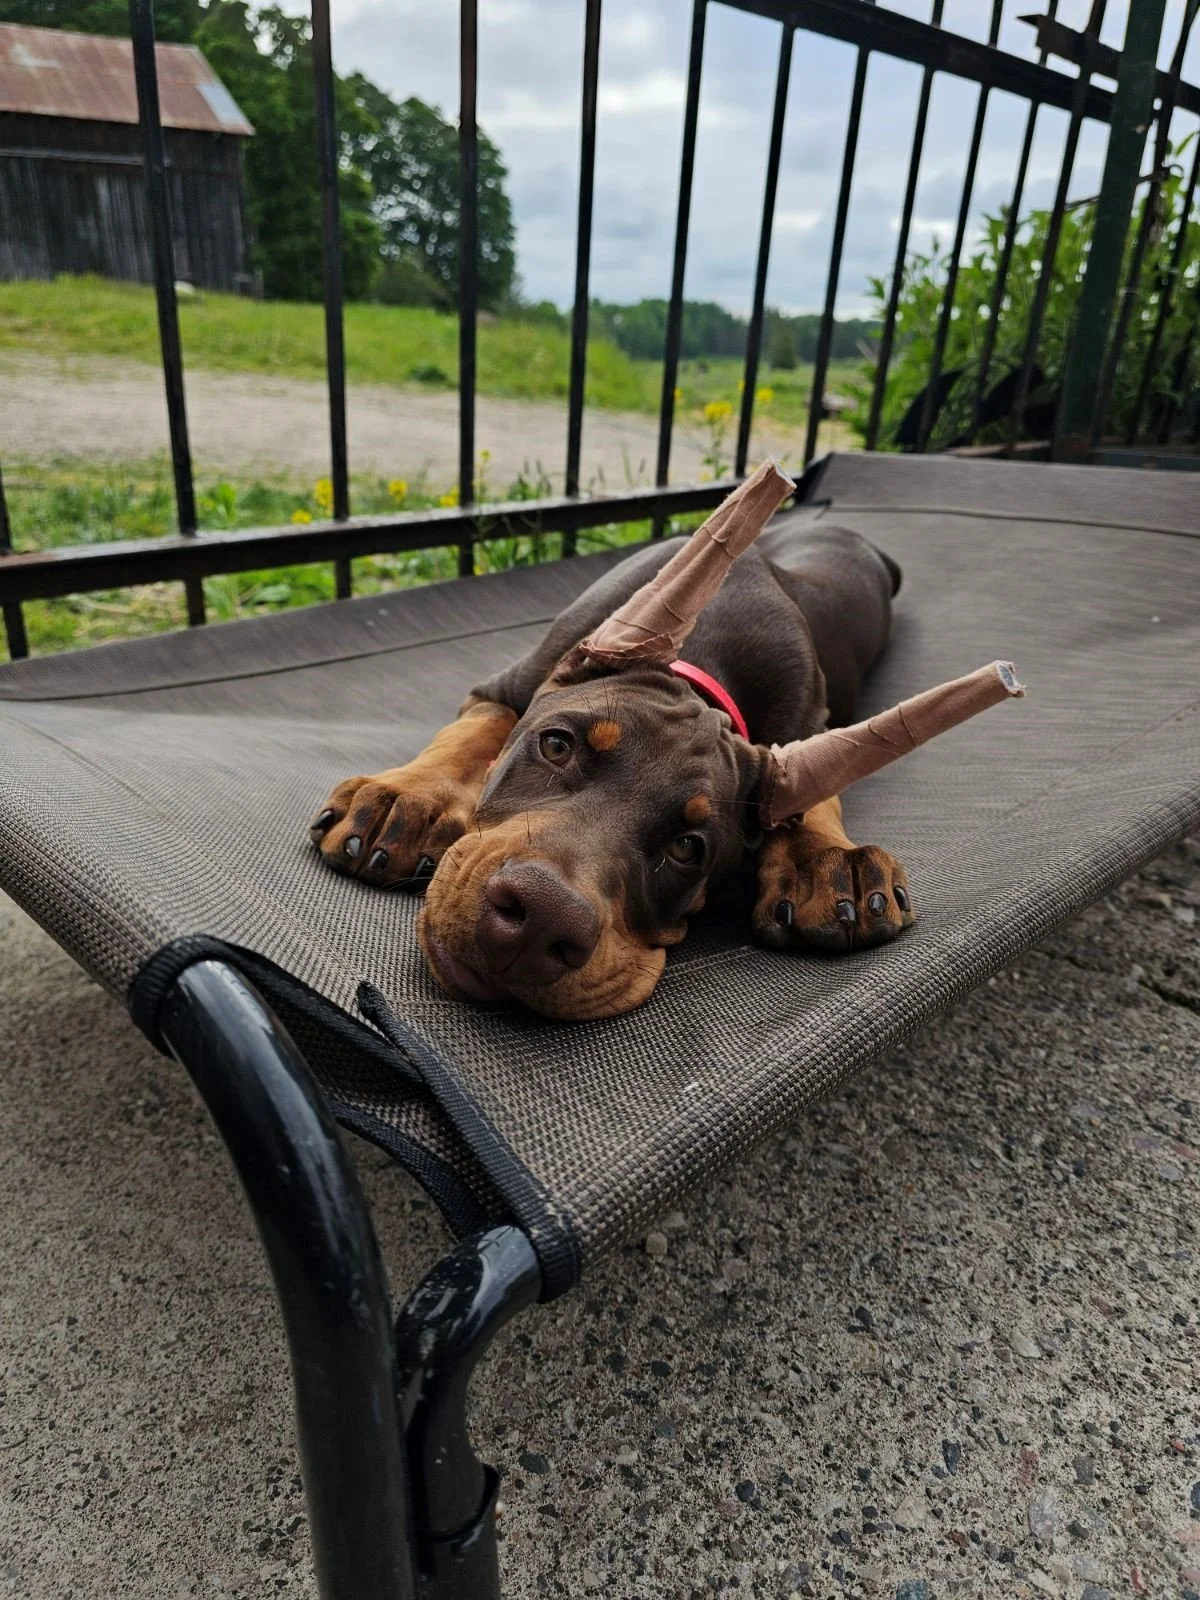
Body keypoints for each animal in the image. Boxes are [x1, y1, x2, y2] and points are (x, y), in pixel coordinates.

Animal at [307, 501, 913, 1020]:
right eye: (556, 746)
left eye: (689, 847)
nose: (538, 925)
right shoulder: (503, 688)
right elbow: (472, 733)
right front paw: (407, 801)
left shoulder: (811, 725)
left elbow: (816, 792)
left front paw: (825, 861)